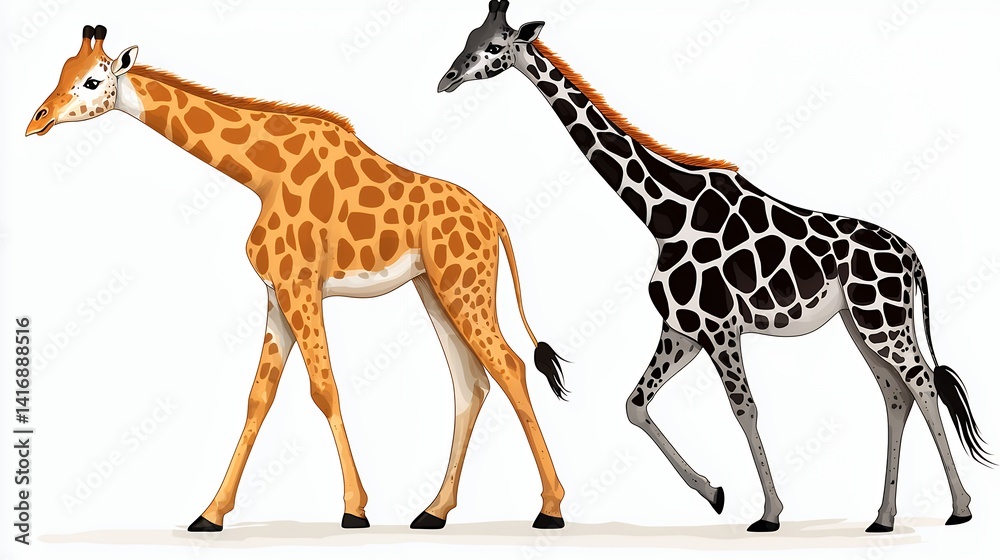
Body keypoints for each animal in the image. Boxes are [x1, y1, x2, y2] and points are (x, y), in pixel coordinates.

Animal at [26, 24, 570, 532]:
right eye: (61, 71)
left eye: (92, 80)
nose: (37, 121)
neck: (262, 174)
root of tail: (495, 220)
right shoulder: (275, 292)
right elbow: (258, 398)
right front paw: (211, 514)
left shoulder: (300, 285)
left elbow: (323, 388)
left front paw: (354, 510)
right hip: (433, 289)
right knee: (470, 383)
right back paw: (434, 511)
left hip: (464, 285)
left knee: (510, 368)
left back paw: (550, 508)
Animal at [438, 1, 992, 533]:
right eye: (467, 37)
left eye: (493, 45)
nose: (446, 79)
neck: (661, 215)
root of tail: (912, 255)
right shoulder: (684, 328)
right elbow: (634, 404)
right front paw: (714, 492)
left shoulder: (722, 326)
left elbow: (744, 409)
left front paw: (769, 513)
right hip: (861, 324)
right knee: (896, 394)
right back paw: (883, 518)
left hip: (883, 321)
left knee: (923, 384)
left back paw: (961, 507)